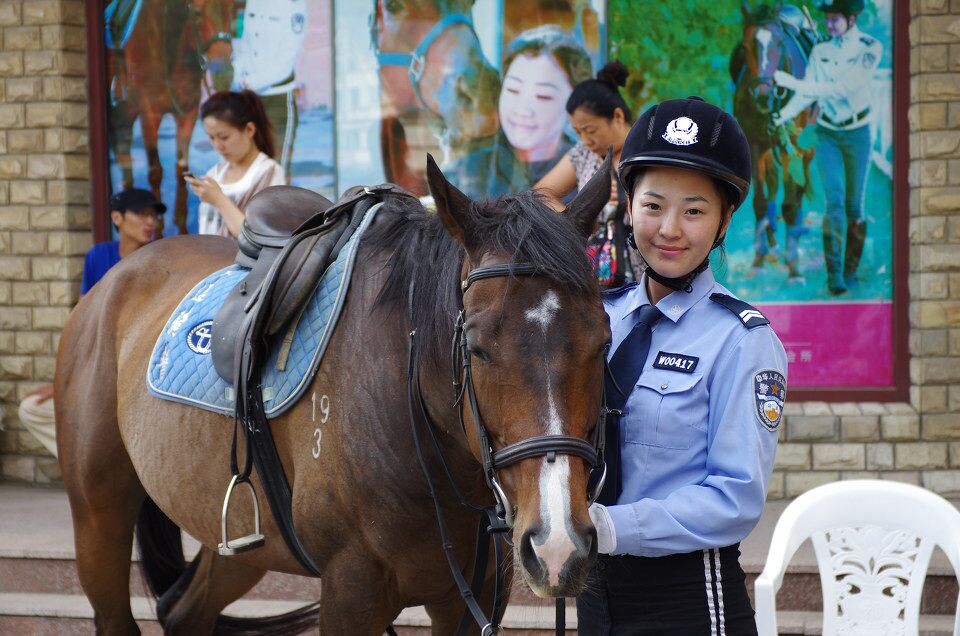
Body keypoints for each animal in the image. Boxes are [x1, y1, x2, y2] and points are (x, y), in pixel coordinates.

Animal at [58, 158, 616, 632]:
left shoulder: (472, 597)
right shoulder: (352, 591)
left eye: (603, 342)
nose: (557, 545)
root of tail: (117, 278)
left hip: (237, 535)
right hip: (98, 516)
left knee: (185, 613)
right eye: (476, 348)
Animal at [107, 0, 234, 235]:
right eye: (196, 12)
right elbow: (155, 171)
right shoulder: (149, 113)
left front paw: (182, 230)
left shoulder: (188, 114)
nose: (224, 72)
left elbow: (181, 169)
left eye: (230, 8)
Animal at [736, 0, 816, 280]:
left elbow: (791, 201)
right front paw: (758, 260)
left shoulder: (792, 144)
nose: (763, 94)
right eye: (745, 46)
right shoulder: (754, 145)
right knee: (771, 183)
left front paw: (794, 268)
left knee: (798, 189)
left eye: (779, 44)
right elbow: (760, 201)